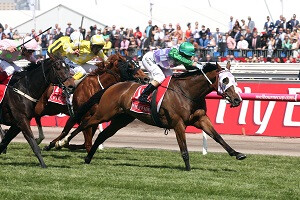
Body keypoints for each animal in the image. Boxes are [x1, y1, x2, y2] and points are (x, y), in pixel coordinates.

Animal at [58, 62, 246, 170]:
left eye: (234, 80)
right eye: (225, 80)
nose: (237, 99)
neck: (187, 92)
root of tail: (112, 87)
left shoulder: (201, 119)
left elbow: (218, 137)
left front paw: (237, 153)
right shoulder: (178, 123)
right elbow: (183, 148)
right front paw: (188, 168)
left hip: (121, 119)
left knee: (102, 134)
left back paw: (88, 158)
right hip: (104, 113)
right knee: (85, 123)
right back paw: (61, 142)